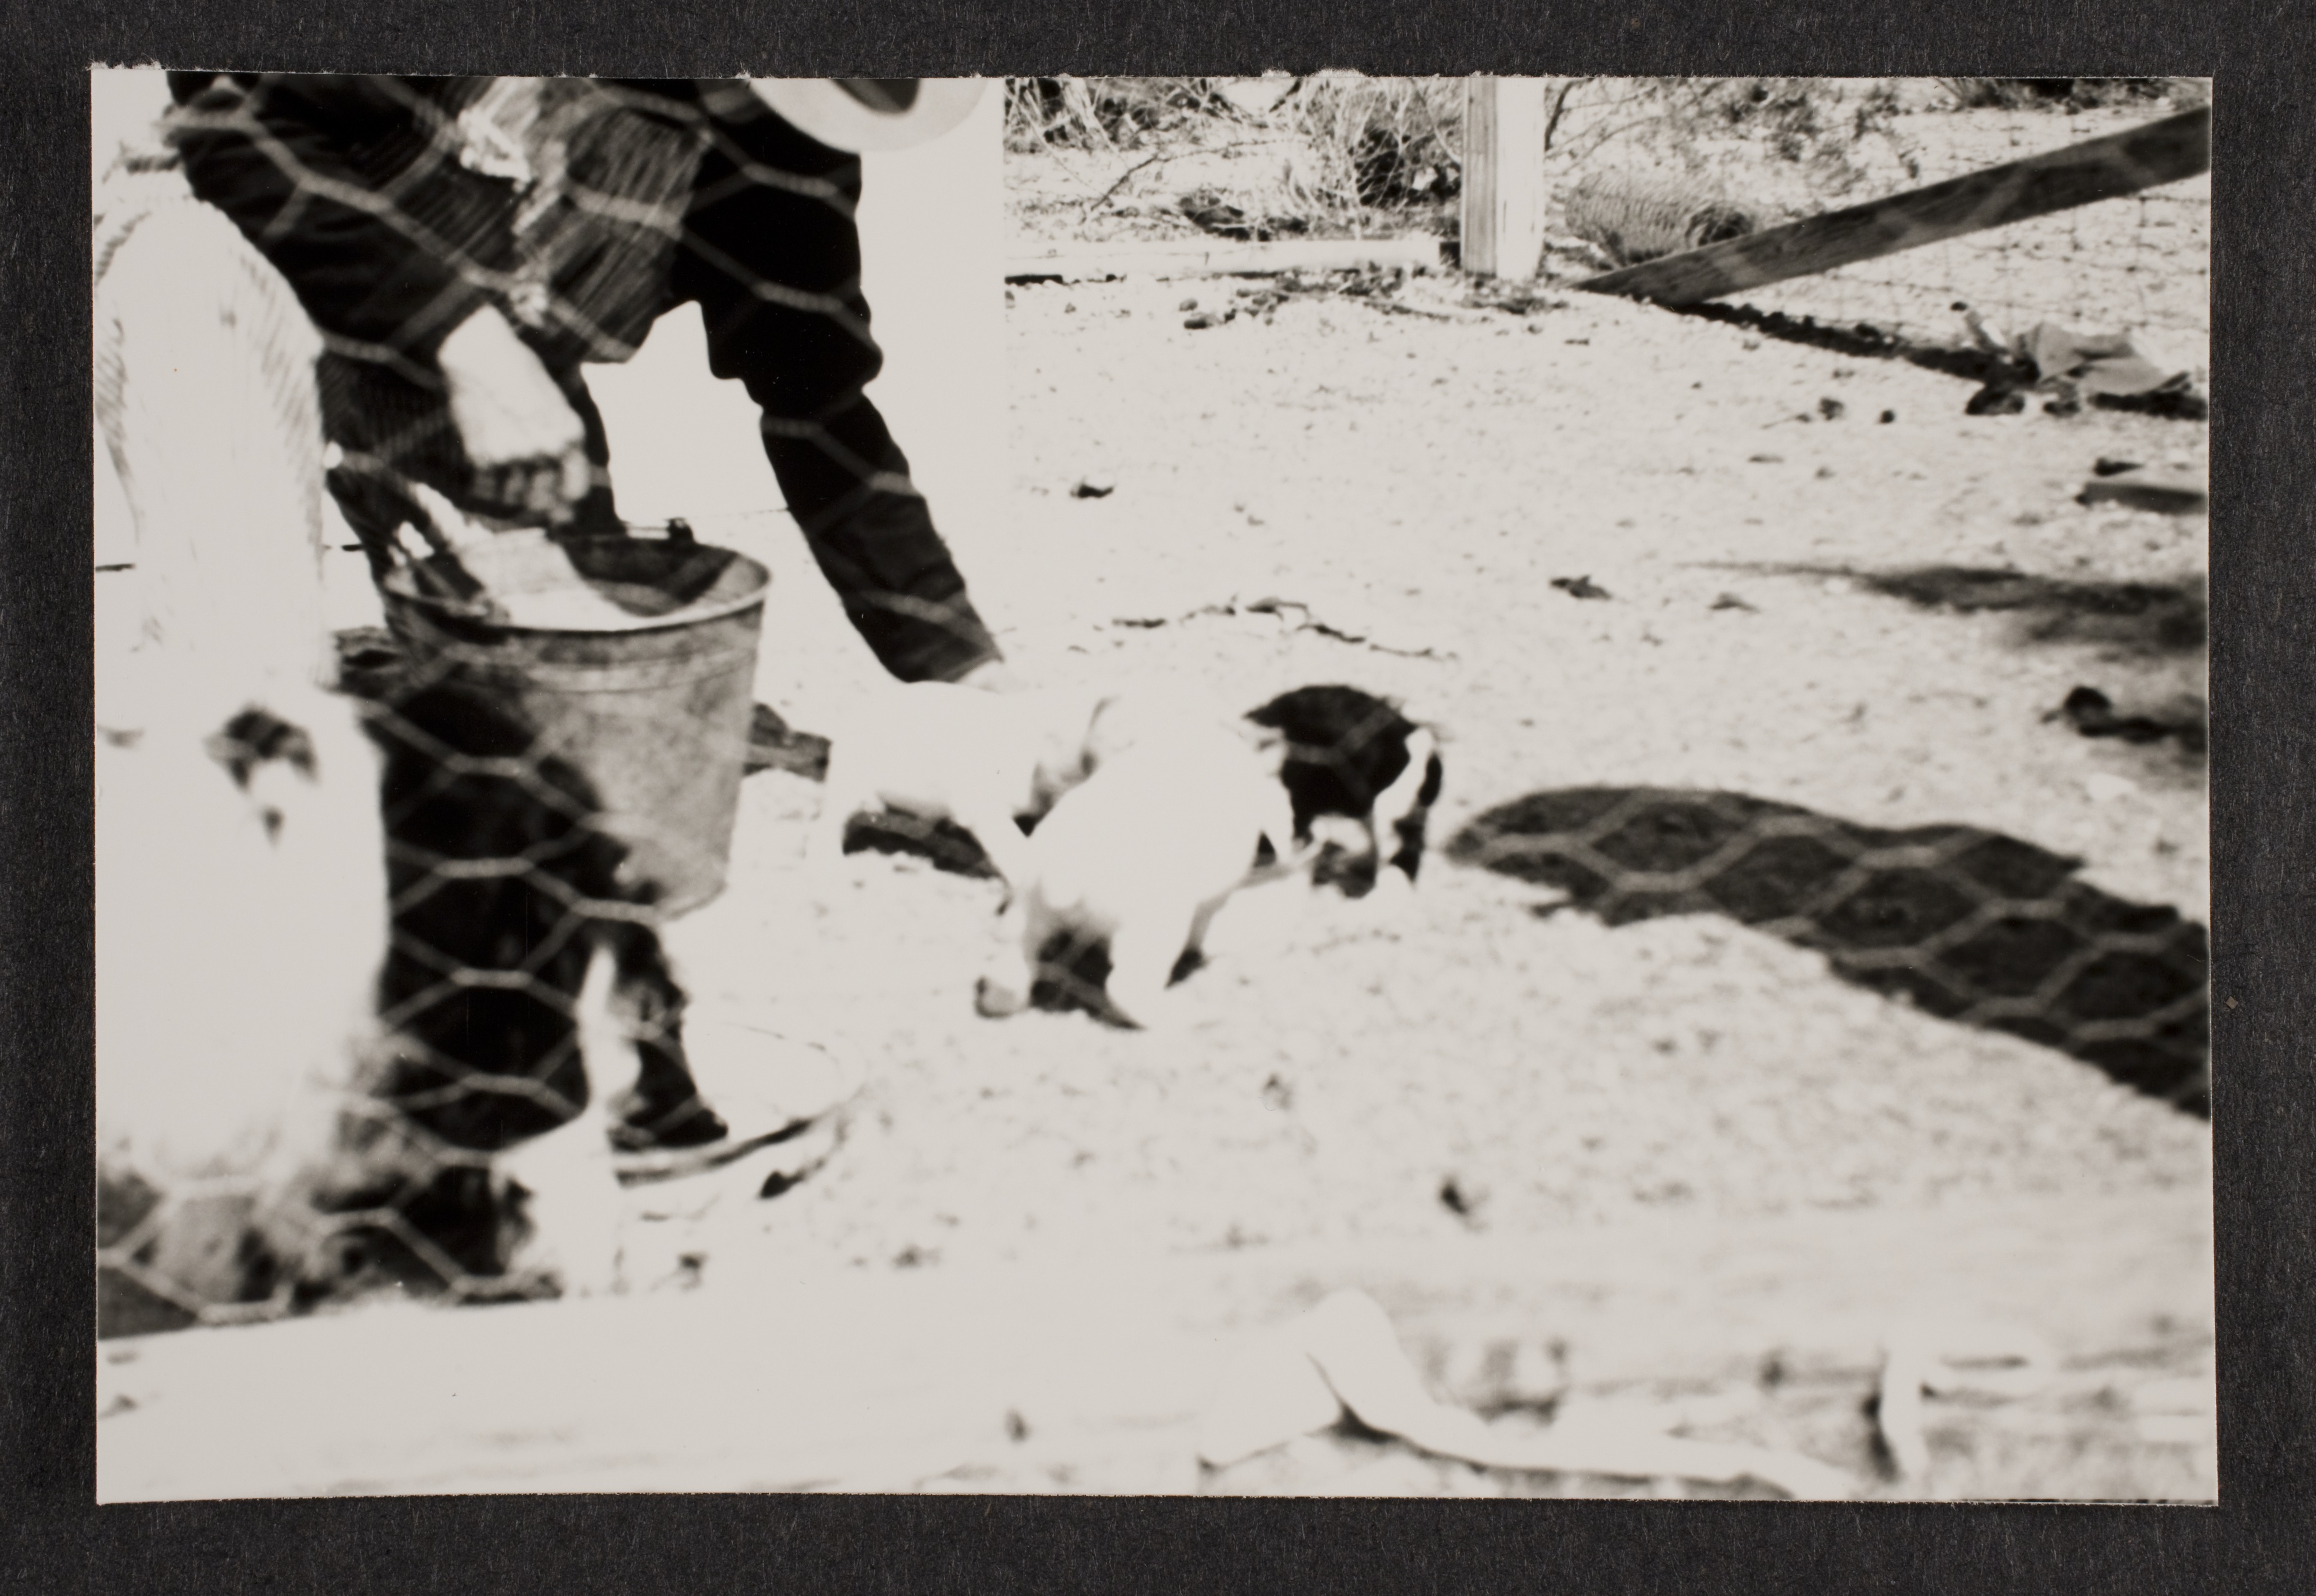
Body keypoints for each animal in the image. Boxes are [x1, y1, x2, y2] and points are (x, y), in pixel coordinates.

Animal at [972, 718, 1315, 1028]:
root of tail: (1065, 873)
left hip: (1029, 906)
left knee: (1013, 959)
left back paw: (1000, 1002)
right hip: (1152, 930)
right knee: (1126, 988)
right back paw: (1191, 1014)